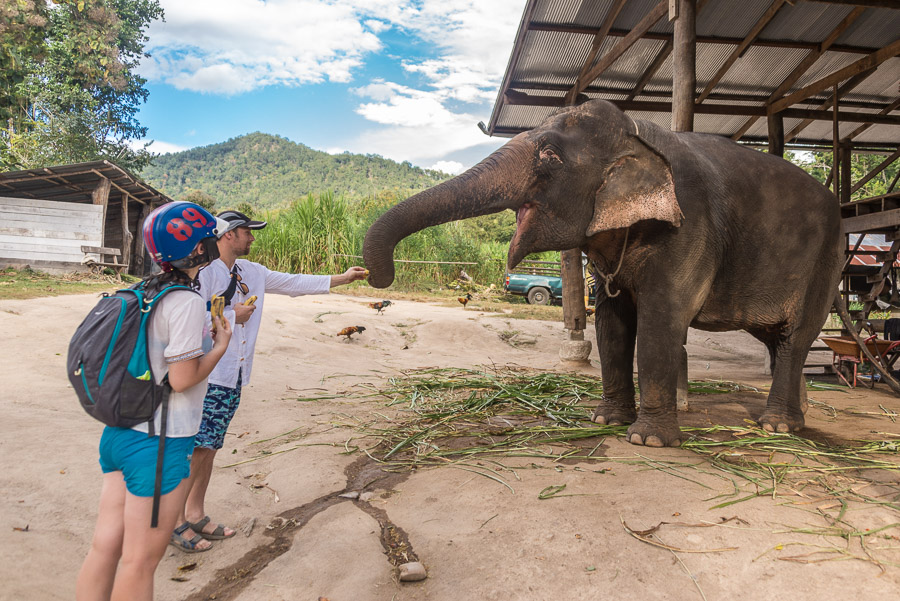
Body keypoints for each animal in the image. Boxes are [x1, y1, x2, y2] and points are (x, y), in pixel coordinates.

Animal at [360, 99, 844, 446]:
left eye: (550, 155)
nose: (378, 277)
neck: (639, 133)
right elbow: (612, 323)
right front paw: (605, 419)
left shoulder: (689, 227)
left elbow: (660, 321)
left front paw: (648, 441)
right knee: (779, 339)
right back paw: (796, 418)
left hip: (827, 259)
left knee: (797, 335)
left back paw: (777, 427)